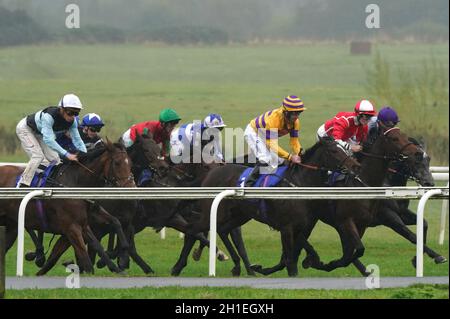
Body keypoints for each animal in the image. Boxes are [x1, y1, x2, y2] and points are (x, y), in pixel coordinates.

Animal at [0, 140, 134, 276]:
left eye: (130, 163)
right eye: (117, 163)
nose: (131, 188)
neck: (77, 182)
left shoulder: (85, 221)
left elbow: (109, 229)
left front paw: (120, 260)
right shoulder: (72, 228)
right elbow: (85, 258)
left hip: (11, 226)